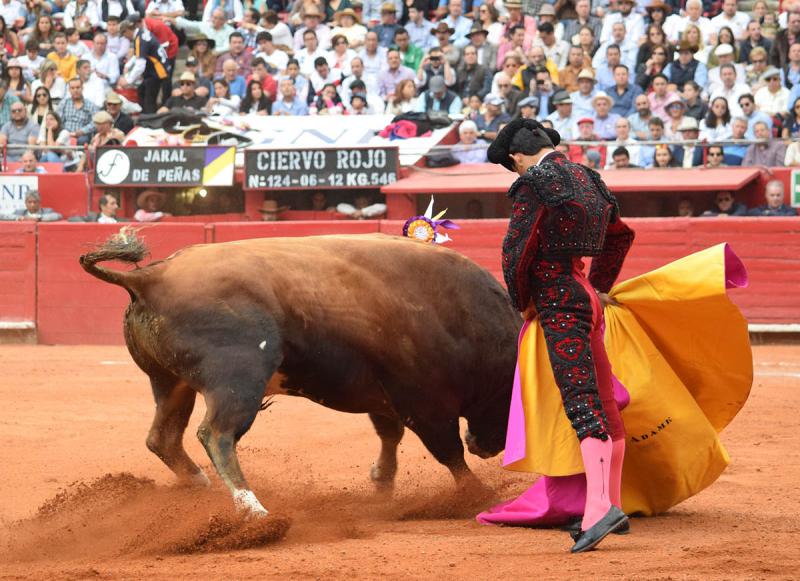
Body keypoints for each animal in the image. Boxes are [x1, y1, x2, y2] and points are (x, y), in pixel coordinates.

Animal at [80, 230, 520, 517]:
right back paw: (253, 509)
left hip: (171, 383)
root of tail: (148, 277)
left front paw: (382, 483)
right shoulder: (423, 400)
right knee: (216, 435)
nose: (488, 447)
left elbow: (389, 435)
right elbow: (447, 451)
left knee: (163, 437)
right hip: (238, 380)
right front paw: (478, 494)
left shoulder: (385, 395)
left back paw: (198, 484)